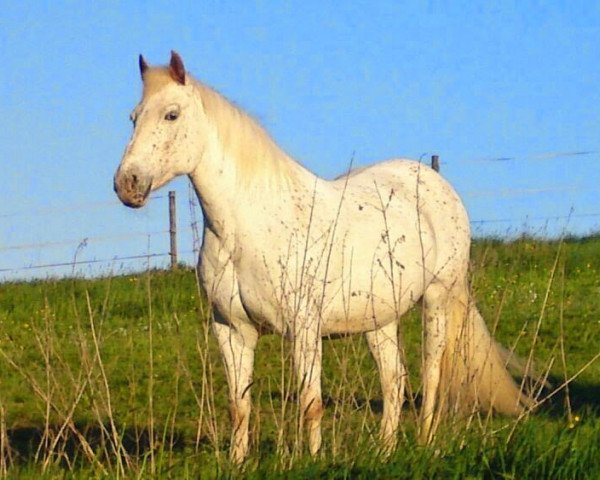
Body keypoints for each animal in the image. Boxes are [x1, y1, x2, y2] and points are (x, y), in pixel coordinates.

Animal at [115, 50, 532, 464]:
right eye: (134, 117)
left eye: (171, 114)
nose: (127, 184)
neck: (246, 228)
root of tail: (433, 181)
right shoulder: (231, 330)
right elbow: (239, 406)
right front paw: (237, 461)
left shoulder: (303, 328)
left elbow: (310, 402)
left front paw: (312, 459)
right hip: (380, 320)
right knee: (394, 381)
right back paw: (385, 450)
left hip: (437, 299)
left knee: (431, 374)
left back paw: (426, 442)